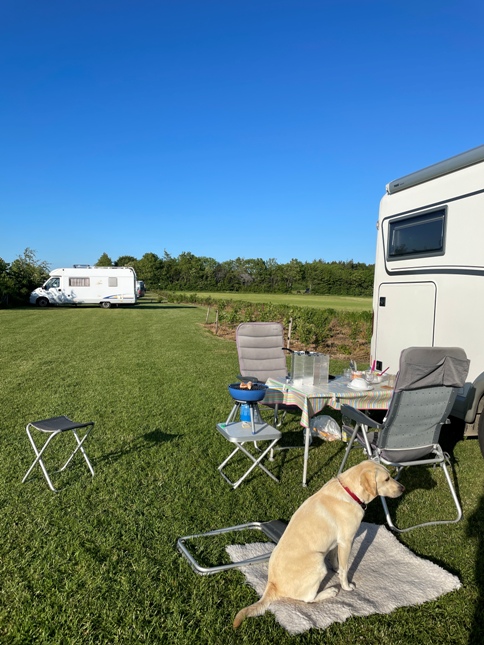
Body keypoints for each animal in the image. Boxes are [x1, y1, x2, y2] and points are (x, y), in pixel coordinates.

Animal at [233, 460, 404, 628]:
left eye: (390, 476)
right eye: (386, 479)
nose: (403, 488)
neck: (350, 491)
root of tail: (272, 585)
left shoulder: (336, 543)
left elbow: (335, 560)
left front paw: (336, 569)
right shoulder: (346, 541)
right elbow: (345, 570)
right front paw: (347, 586)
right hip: (318, 562)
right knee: (308, 599)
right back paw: (330, 592)